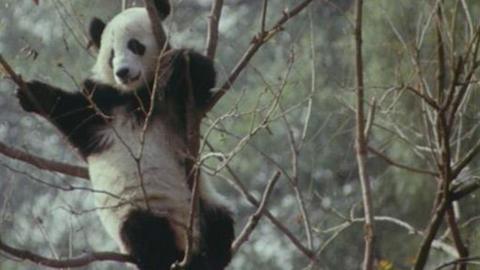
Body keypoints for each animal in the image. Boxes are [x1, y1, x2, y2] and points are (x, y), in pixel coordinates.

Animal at [17, 0, 236, 270]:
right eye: (111, 55)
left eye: (135, 45)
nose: (123, 72)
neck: (136, 94)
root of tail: (185, 241)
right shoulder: (103, 104)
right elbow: (74, 115)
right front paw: (31, 93)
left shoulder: (177, 110)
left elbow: (199, 83)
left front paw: (179, 63)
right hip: (135, 208)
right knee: (142, 233)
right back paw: (166, 257)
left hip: (204, 200)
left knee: (220, 225)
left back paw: (207, 256)